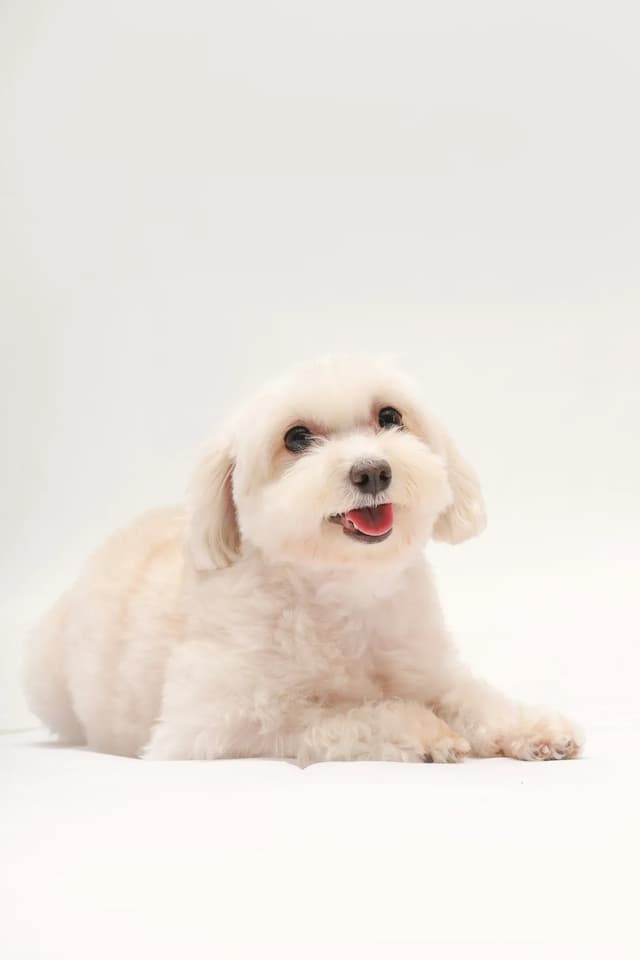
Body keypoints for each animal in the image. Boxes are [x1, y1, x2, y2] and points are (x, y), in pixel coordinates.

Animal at [25, 354, 584, 764]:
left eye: (390, 417)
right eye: (296, 438)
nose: (372, 471)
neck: (344, 592)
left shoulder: (428, 668)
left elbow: (472, 699)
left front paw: (531, 726)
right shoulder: (212, 724)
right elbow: (332, 718)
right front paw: (423, 730)